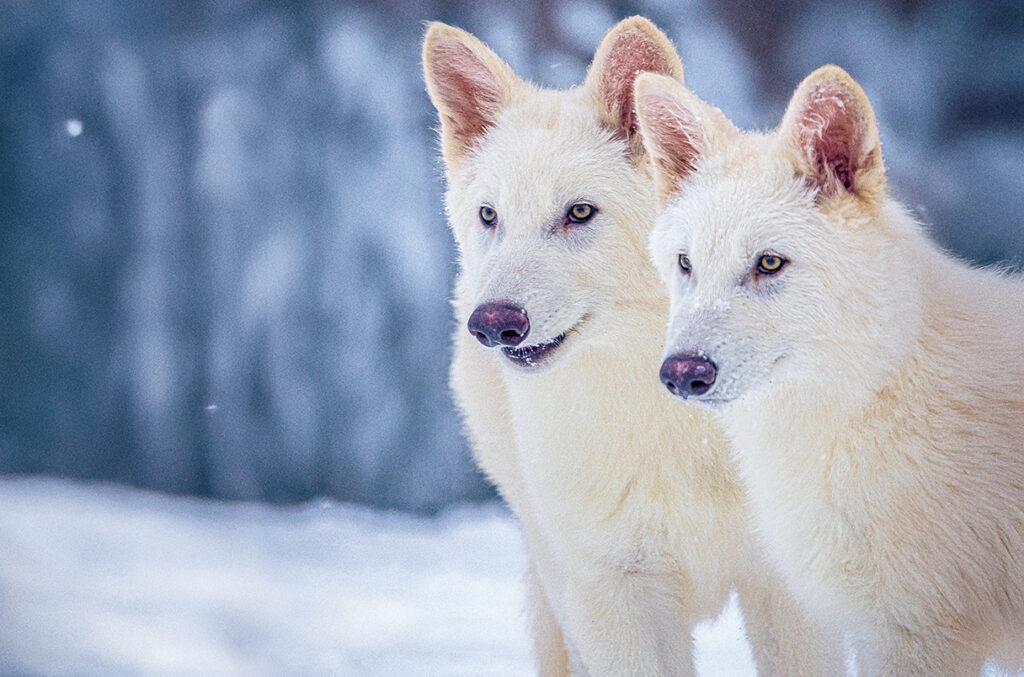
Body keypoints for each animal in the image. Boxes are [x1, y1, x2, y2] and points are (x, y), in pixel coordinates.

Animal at [422, 17, 839, 677]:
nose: (493, 324)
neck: (675, 426)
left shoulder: (787, 589)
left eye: (579, 212)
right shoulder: (612, 596)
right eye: (490, 216)